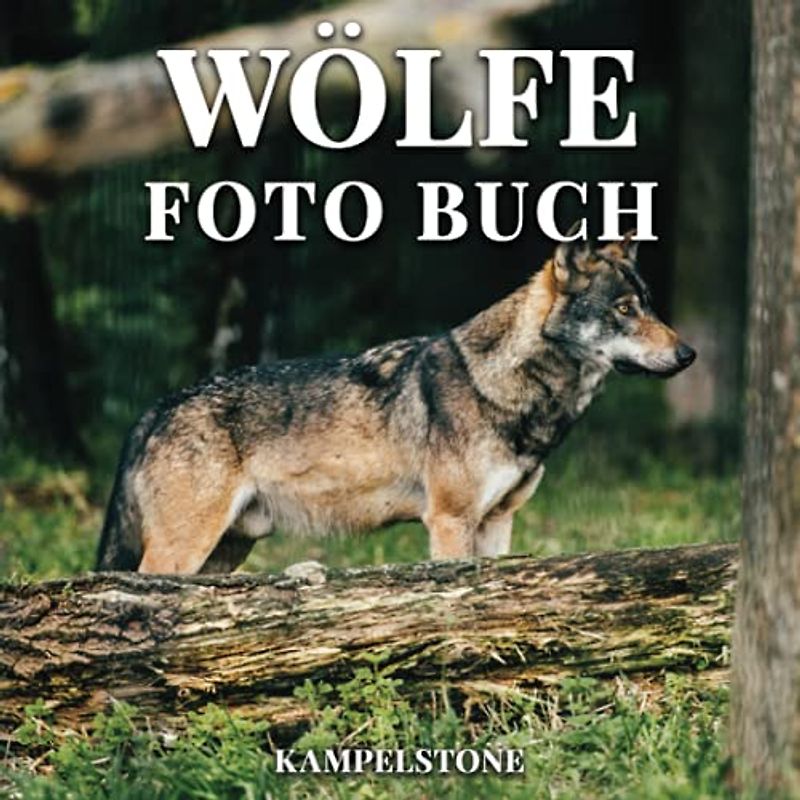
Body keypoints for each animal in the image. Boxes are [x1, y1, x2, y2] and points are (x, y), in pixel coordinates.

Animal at [96, 232, 695, 574]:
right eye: (623, 309)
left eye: (649, 305)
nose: (688, 354)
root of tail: (158, 406)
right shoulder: (450, 521)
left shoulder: (498, 522)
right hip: (184, 552)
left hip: (224, 554)